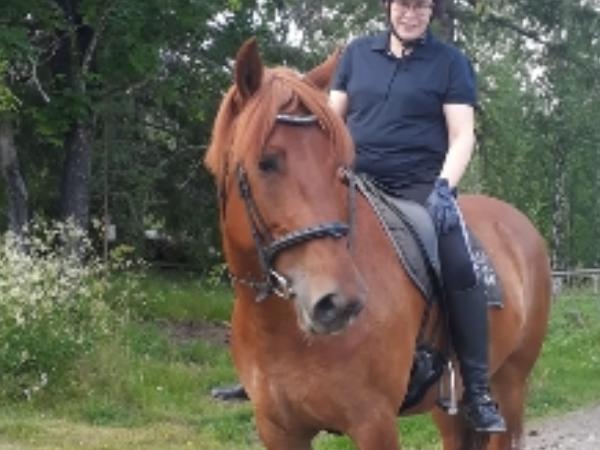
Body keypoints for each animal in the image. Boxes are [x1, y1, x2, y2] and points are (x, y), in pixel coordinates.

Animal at [204, 38, 552, 450]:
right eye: (266, 163)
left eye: (339, 168)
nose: (338, 303)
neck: (280, 328)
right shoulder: (279, 430)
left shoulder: (374, 423)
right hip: (449, 407)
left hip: (507, 385)